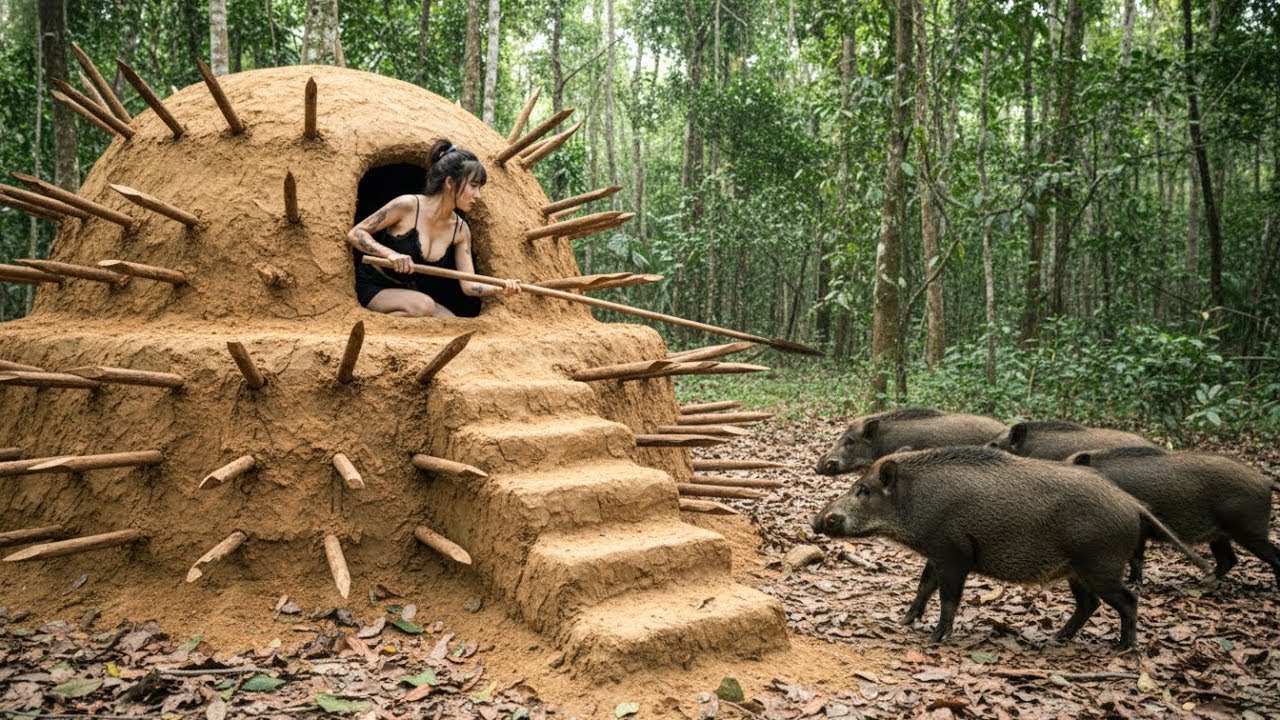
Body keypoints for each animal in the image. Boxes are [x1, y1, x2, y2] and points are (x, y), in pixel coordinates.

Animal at [811, 447, 1210, 649]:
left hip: (1100, 565)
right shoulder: (937, 554)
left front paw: (936, 638)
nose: (817, 520)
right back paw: (1056, 638)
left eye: (863, 490)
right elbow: (924, 587)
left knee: (1127, 599)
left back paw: (1122, 647)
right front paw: (904, 621)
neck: (915, 501)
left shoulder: (955, 554)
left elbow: (948, 597)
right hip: (1077, 572)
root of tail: (1134, 505)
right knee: (1089, 604)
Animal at [1067, 446, 1280, 587]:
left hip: (1249, 530)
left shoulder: (1141, 530)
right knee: (1229, 560)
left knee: (1272, 555)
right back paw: (1204, 582)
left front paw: (1133, 584)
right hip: (1219, 535)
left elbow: (1136, 558)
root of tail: (1265, 480)